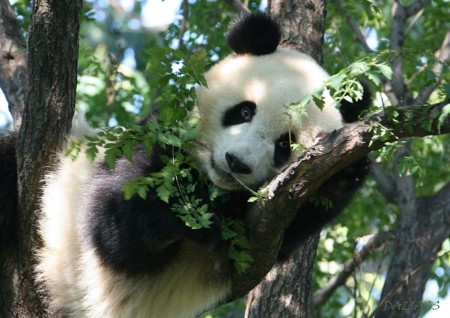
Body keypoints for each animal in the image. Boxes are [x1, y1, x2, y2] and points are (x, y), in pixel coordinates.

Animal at [0, 12, 370, 318]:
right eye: (245, 110)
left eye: (284, 145)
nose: (236, 162)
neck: (212, 181)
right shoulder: (152, 143)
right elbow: (112, 225)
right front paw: (191, 215)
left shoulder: (258, 240)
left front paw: (344, 174)